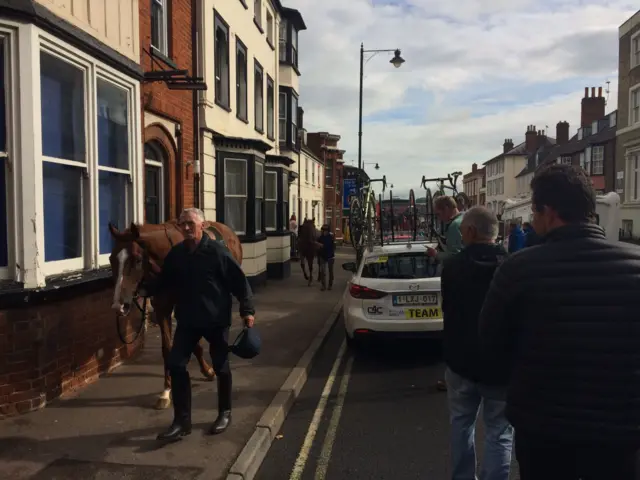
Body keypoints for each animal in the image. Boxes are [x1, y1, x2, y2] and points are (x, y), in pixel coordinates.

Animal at [109, 219, 244, 410]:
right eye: (111, 259)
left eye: (137, 260)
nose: (118, 305)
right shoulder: (162, 309)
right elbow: (168, 348)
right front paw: (166, 392)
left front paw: (208, 370)